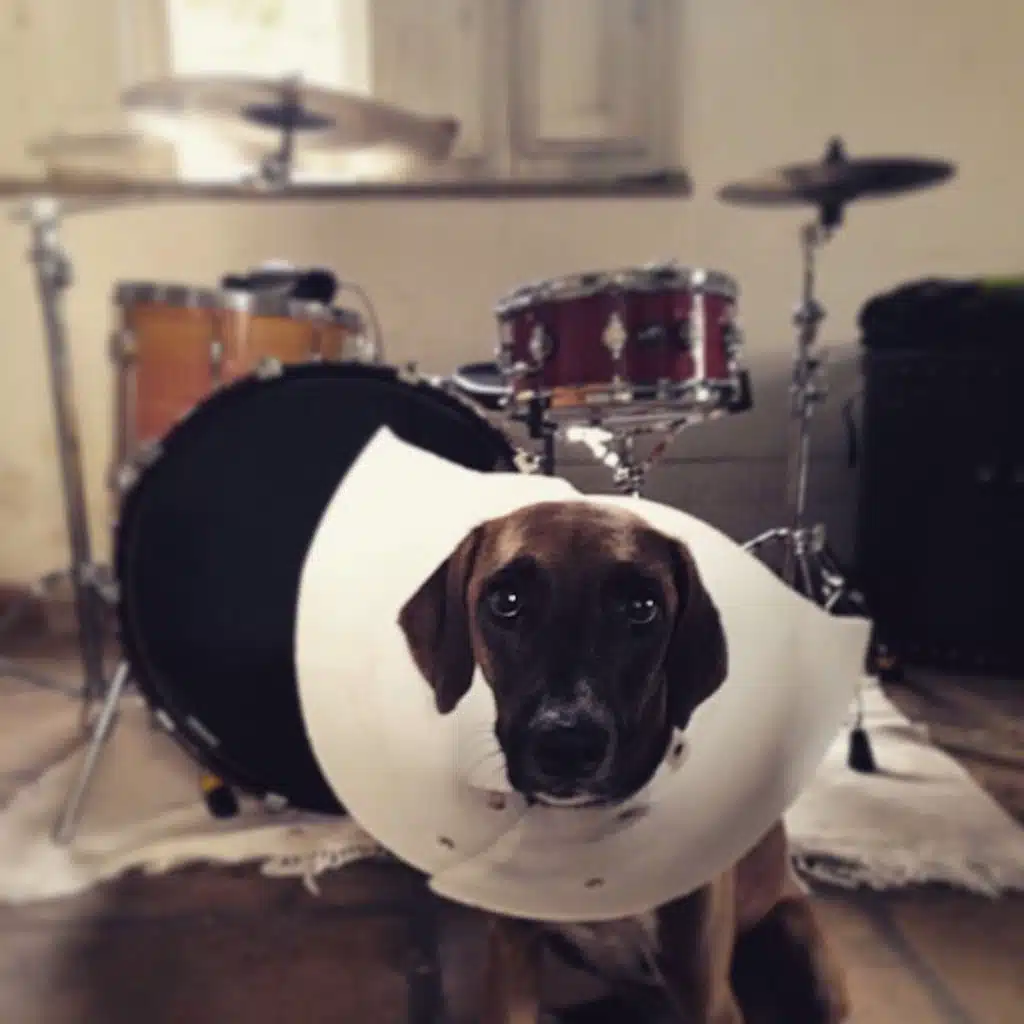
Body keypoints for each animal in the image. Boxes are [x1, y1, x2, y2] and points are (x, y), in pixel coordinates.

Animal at [399, 501, 850, 1023]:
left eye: (642, 608)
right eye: (506, 600)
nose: (568, 746)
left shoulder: (706, 997)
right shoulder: (512, 965)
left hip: (806, 957)